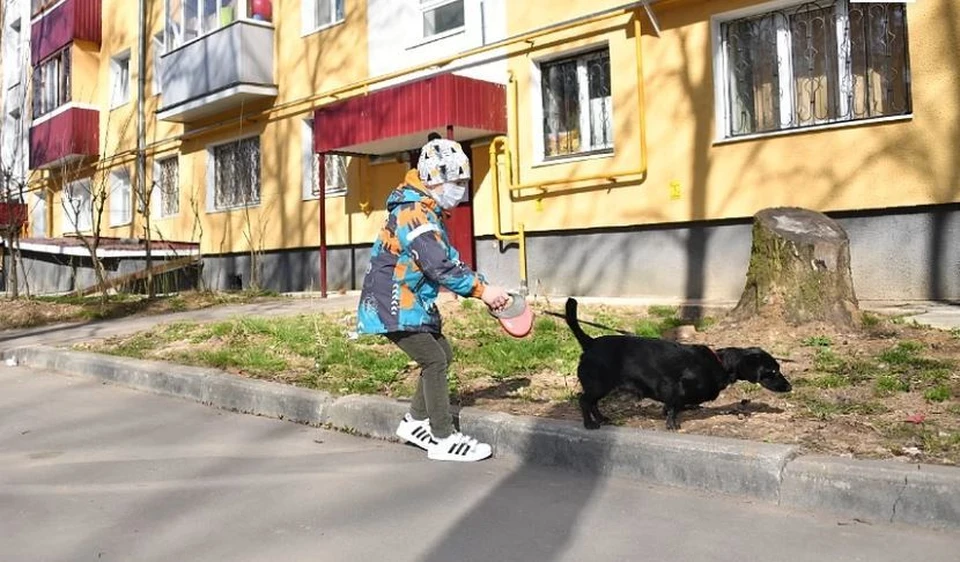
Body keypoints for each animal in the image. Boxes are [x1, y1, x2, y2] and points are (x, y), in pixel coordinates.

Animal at [568, 298, 792, 428]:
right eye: (772, 371)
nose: (790, 387)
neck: (720, 363)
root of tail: (589, 343)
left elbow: (675, 406)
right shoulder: (676, 387)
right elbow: (674, 406)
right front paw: (672, 423)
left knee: (592, 402)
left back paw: (602, 419)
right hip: (599, 384)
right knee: (584, 400)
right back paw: (590, 424)